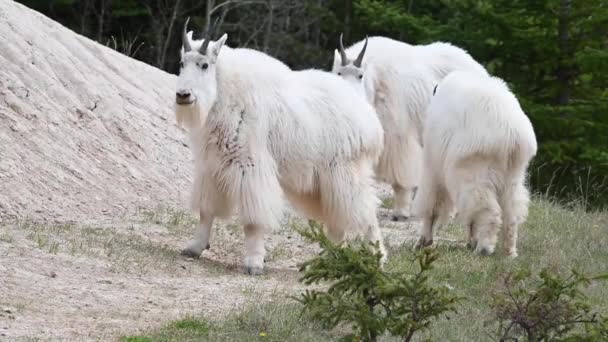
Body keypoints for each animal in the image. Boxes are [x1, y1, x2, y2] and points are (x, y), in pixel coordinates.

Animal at [173, 19, 388, 276]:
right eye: (182, 63)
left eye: (204, 65)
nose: (183, 95)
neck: (224, 93)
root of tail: (370, 120)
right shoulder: (211, 166)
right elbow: (206, 210)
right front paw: (194, 247)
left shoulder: (250, 165)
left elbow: (253, 220)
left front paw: (254, 262)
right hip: (320, 183)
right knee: (337, 220)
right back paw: (329, 261)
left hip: (345, 172)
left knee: (365, 213)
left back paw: (377, 260)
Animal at [334, 35, 486, 222]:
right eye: (338, 73)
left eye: (360, 75)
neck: (375, 83)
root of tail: (479, 68)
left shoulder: (398, 139)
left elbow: (400, 179)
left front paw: (400, 212)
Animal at [414, 71, 536, 258]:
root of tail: (514, 136)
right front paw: (470, 241)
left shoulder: (433, 162)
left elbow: (433, 200)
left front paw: (423, 242)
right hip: (514, 171)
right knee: (512, 208)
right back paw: (509, 251)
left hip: (476, 166)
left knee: (485, 206)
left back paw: (484, 248)